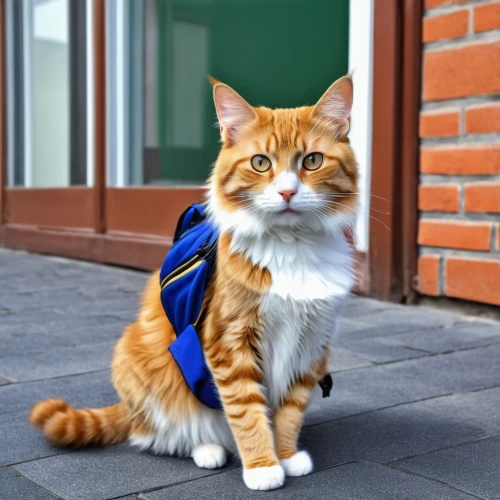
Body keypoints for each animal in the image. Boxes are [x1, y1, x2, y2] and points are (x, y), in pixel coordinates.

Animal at [29, 76, 358, 490]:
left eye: (312, 161)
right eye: (261, 163)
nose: (287, 192)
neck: (292, 246)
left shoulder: (312, 344)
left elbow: (290, 411)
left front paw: (285, 455)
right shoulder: (231, 343)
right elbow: (247, 411)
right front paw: (263, 466)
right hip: (141, 367)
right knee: (157, 434)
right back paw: (207, 449)